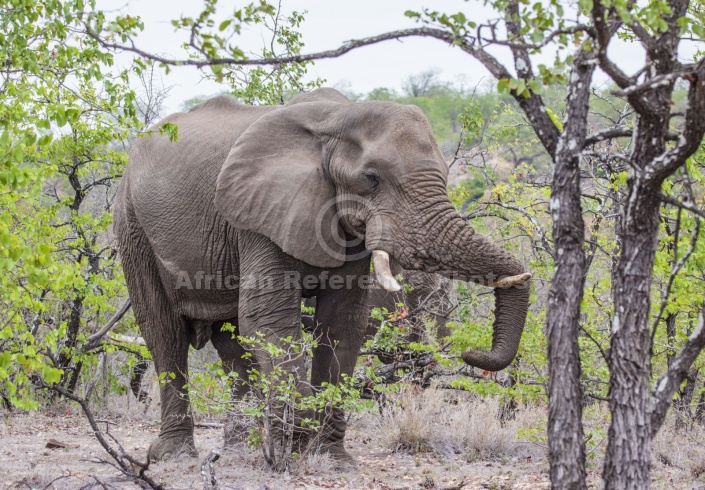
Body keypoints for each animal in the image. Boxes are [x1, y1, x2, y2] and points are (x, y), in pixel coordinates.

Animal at [115, 87, 532, 464]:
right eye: (371, 178)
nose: (472, 353)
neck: (336, 120)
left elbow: (342, 321)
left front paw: (328, 457)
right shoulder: (258, 216)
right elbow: (268, 318)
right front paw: (296, 441)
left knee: (231, 344)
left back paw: (238, 455)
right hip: (132, 223)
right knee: (165, 333)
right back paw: (175, 456)